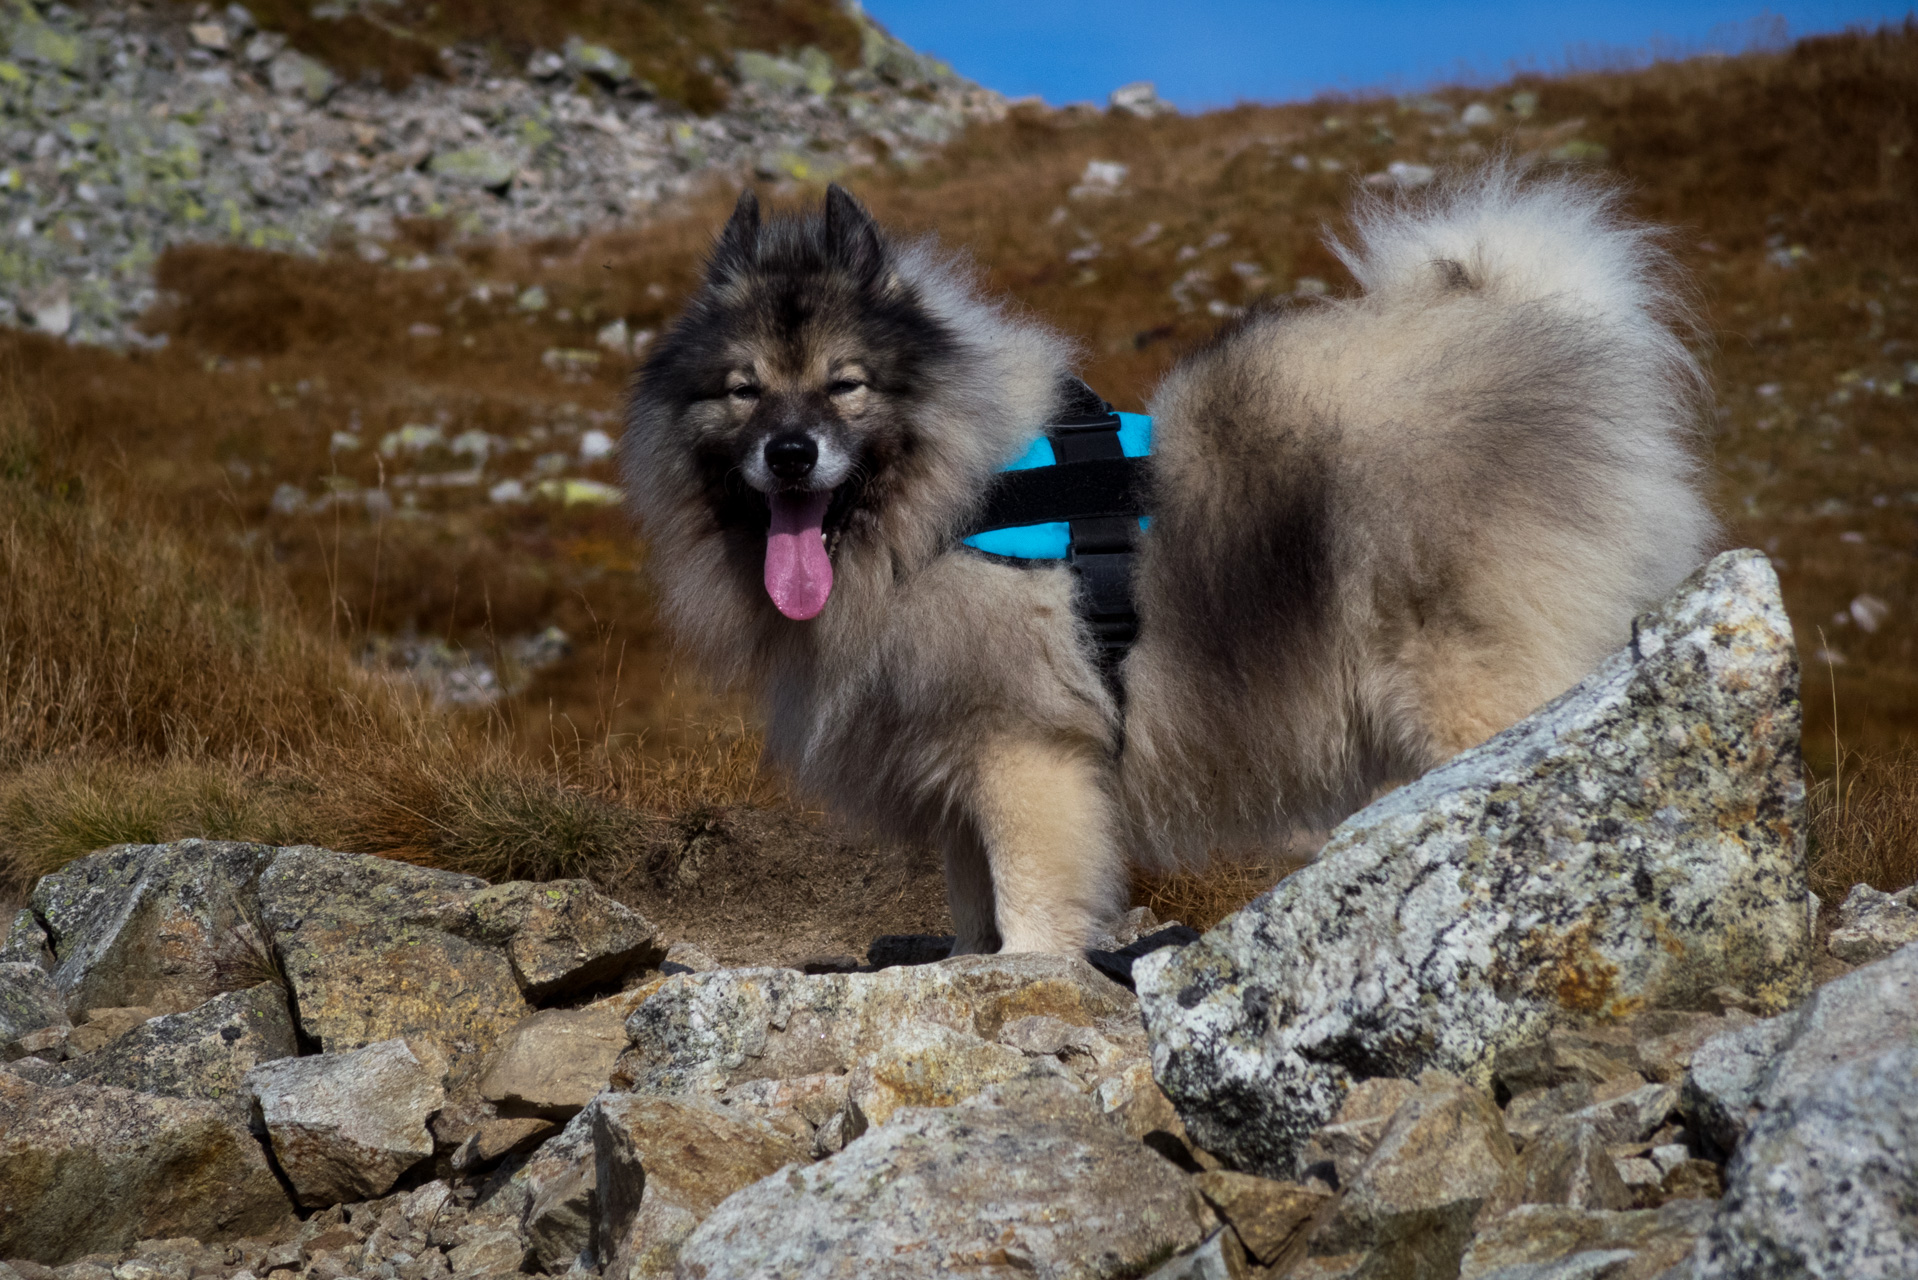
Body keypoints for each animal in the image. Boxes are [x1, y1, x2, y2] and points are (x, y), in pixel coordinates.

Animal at [625, 165, 1726, 955]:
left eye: (844, 384)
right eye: (742, 390)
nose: (790, 452)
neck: (944, 505)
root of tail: (1546, 334)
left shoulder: (1025, 752)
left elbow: (1029, 904)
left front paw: (1029, 982)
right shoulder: (957, 764)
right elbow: (973, 907)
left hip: (1478, 691)